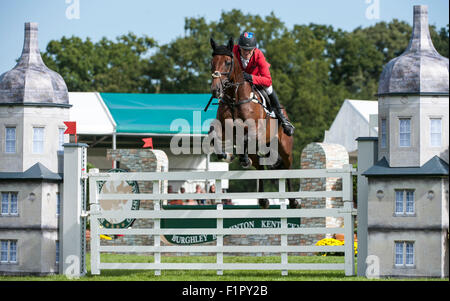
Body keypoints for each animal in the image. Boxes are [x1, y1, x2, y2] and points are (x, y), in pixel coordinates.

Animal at [207, 37, 298, 209]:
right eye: (212, 62)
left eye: (227, 62)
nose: (216, 90)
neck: (234, 98)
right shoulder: (224, 129)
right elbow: (214, 137)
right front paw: (227, 156)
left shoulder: (255, 130)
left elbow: (245, 137)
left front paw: (239, 157)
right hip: (260, 151)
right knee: (260, 168)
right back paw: (263, 200)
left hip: (285, 147)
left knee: (288, 167)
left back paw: (293, 201)